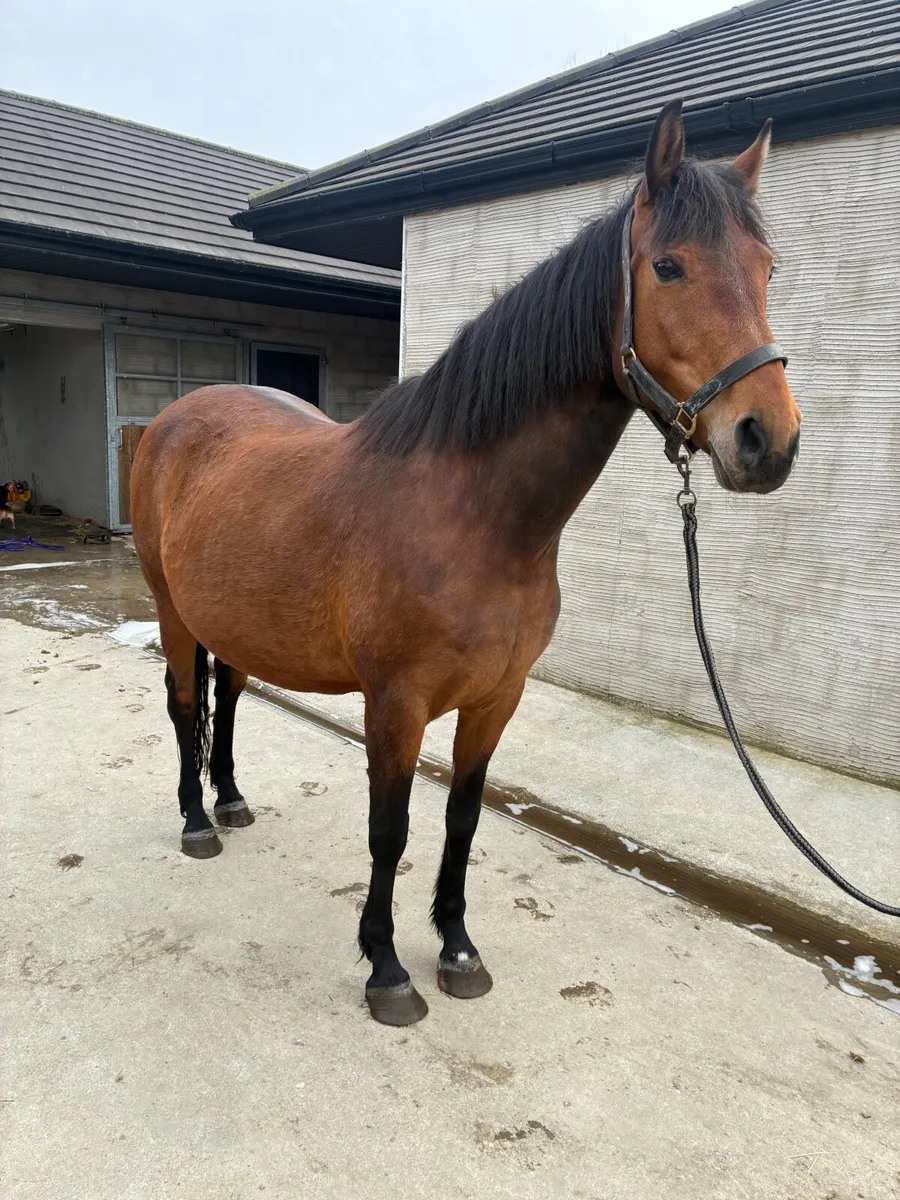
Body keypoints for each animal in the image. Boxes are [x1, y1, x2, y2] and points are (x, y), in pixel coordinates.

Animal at [130, 100, 802, 1026]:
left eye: (768, 268)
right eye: (668, 267)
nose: (768, 441)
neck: (474, 518)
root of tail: (174, 418)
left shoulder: (496, 698)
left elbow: (462, 819)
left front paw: (456, 948)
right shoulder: (396, 703)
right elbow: (391, 831)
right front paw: (386, 969)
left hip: (230, 616)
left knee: (226, 698)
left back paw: (230, 801)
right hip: (172, 609)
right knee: (183, 703)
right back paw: (197, 822)